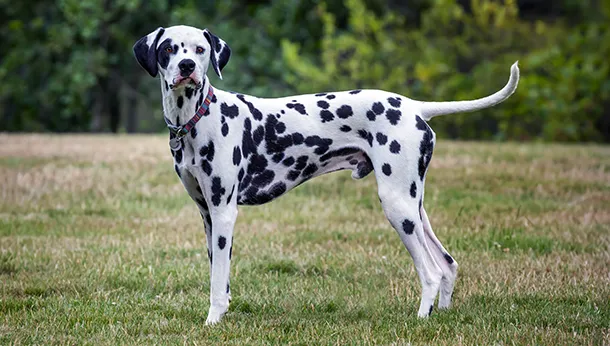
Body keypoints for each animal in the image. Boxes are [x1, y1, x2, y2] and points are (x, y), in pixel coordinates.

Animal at [133, 25, 516, 326]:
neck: (198, 118)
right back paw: (444, 313)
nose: (187, 66)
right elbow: (220, 277)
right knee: (448, 264)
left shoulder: (225, 213)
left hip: (398, 208)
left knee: (431, 272)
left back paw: (422, 318)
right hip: (413, 208)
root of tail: (415, 106)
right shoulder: (208, 215)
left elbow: (216, 284)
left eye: (200, 49)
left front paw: (212, 321)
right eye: (169, 49)